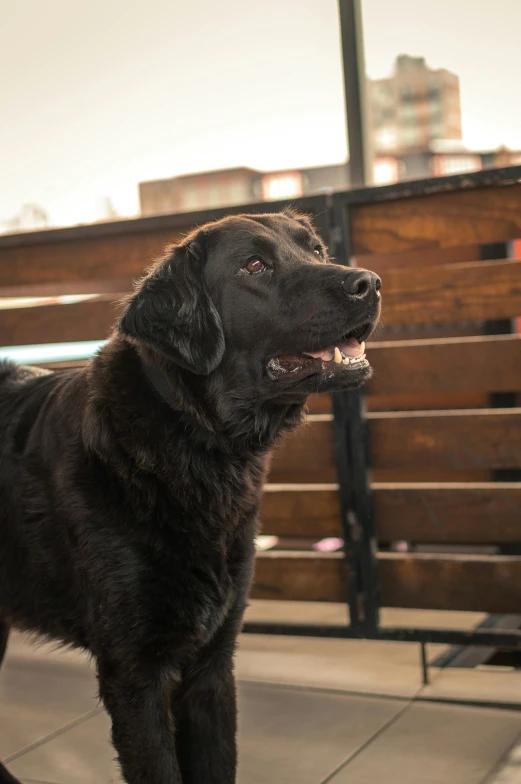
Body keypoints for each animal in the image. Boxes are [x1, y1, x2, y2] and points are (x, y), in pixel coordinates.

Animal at [1, 211, 382, 780]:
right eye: (255, 265)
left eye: (316, 250)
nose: (370, 283)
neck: (194, 445)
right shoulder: (135, 675)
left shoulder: (212, 663)